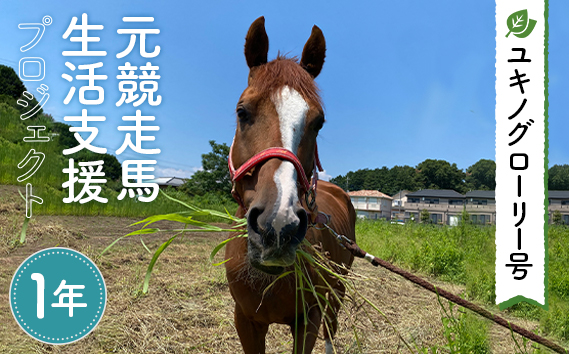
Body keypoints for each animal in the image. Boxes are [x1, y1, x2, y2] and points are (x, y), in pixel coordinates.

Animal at [225, 17, 356, 354]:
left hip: (338, 287)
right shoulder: (246, 321)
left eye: (318, 122)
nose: (277, 223)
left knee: (332, 328)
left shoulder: (307, 319)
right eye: (242, 112)